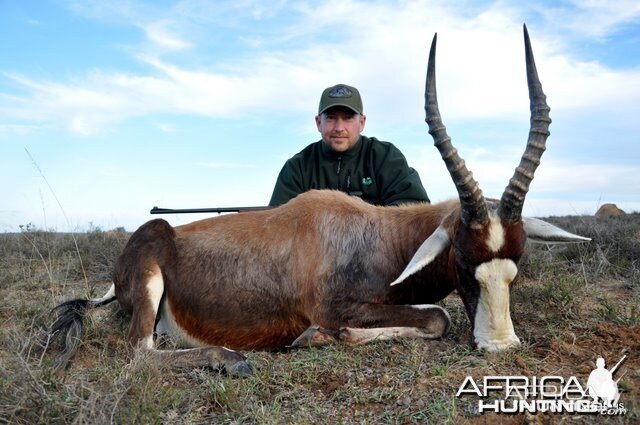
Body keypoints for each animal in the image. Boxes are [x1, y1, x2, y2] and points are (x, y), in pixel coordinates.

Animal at [48, 25, 592, 374]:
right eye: (462, 257)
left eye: (518, 258)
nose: (498, 346)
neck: (375, 234)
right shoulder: (335, 307)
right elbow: (436, 317)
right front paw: (318, 338)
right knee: (138, 352)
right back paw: (232, 360)